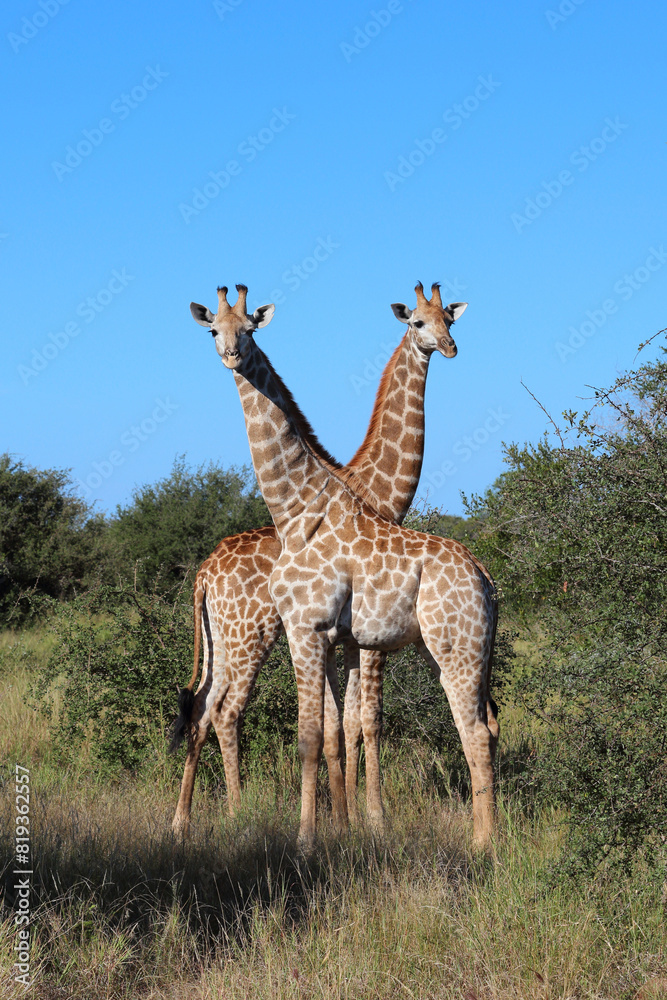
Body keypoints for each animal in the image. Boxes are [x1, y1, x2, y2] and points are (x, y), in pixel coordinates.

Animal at [189, 284, 499, 850]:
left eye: (250, 329)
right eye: (213, 330)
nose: (231, 356)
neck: (299, 507)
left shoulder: (326, 634)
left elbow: (333, 731)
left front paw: (326, 834)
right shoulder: (334, 637)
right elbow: (336, 730)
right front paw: (344, 825)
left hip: (451, 648)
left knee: (475, 732)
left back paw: (482, 845)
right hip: (244, 640)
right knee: (212, 711)